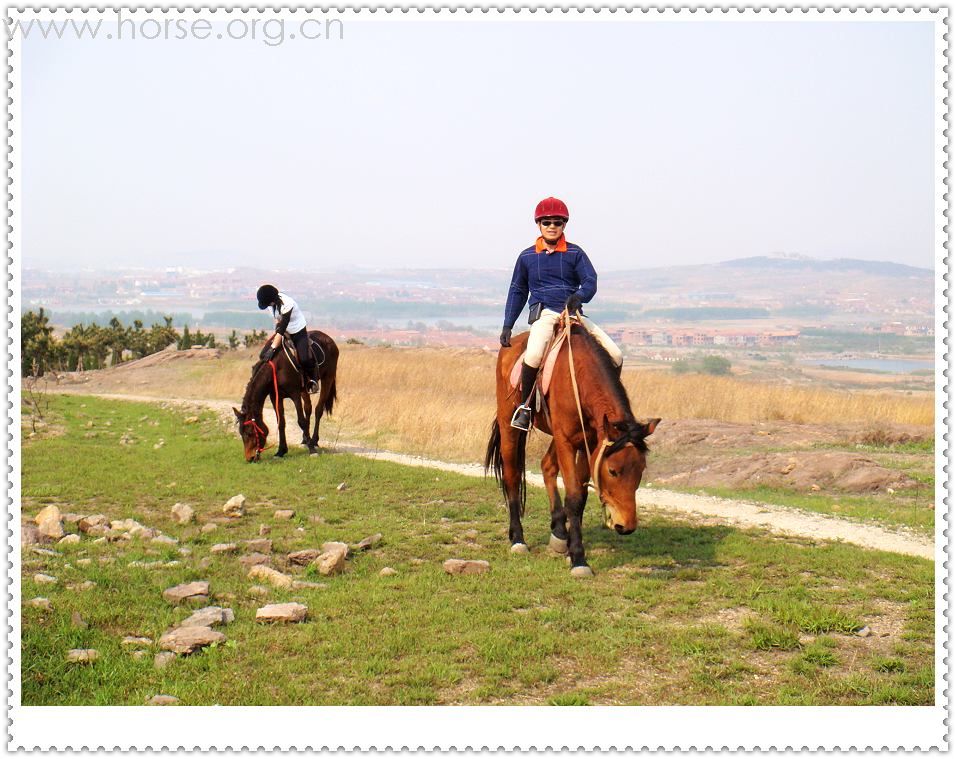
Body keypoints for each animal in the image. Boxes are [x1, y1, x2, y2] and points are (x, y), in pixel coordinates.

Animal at [232, 330, 340, 460]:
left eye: (250, 433)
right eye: (241, 433)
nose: (250, 458)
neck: (276, 367)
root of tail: (329, 339)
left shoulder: (295, 395)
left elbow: (301, 421)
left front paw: (312, 450)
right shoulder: (275, 397)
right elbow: (281, 422)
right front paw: (281, 451)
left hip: (327, 379)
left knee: (318, 410)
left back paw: (314, 441)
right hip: (305, 389)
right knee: (308, 408)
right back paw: (305, 439)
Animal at [486, 318, 656, 580]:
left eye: (641, 470)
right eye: (613, 471)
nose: (626, 526)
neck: (579, 375)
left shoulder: (588, 443)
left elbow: (581, 496)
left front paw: (567, 545)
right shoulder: (567, 441)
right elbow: (574, 496)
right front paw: (578, 558)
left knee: (547, 466)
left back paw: (558, 532)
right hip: (509, 426)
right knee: (512, 476)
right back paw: (518, 539)